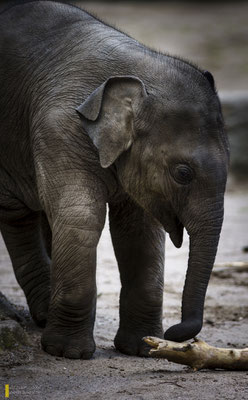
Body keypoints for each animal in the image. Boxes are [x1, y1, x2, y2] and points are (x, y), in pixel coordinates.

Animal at [0, 1, 229, 360]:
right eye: (183, 173)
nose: (175, 332)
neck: (137, 71)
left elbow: (140, 231)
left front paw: (142, 347)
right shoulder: (60, 128)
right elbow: (81, 218)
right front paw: (68, 353)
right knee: (18, 214)